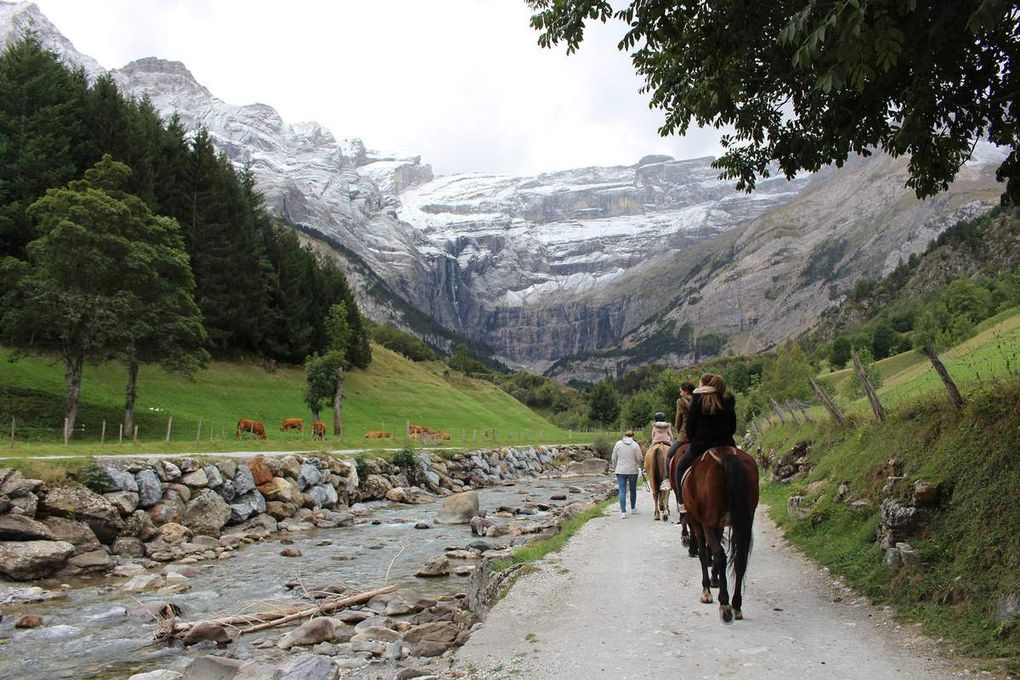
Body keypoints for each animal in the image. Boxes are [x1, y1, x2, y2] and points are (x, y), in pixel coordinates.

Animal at [677, 444, 758, 623]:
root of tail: (726, 454)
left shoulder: (698, 522)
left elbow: (703, 552)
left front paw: (707, 589)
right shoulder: (719, 525)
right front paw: (715, 579)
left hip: (707, 523)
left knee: (720, 554)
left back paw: (725, 604)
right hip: (745, 521)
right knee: (740, 559)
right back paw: (736, 605)